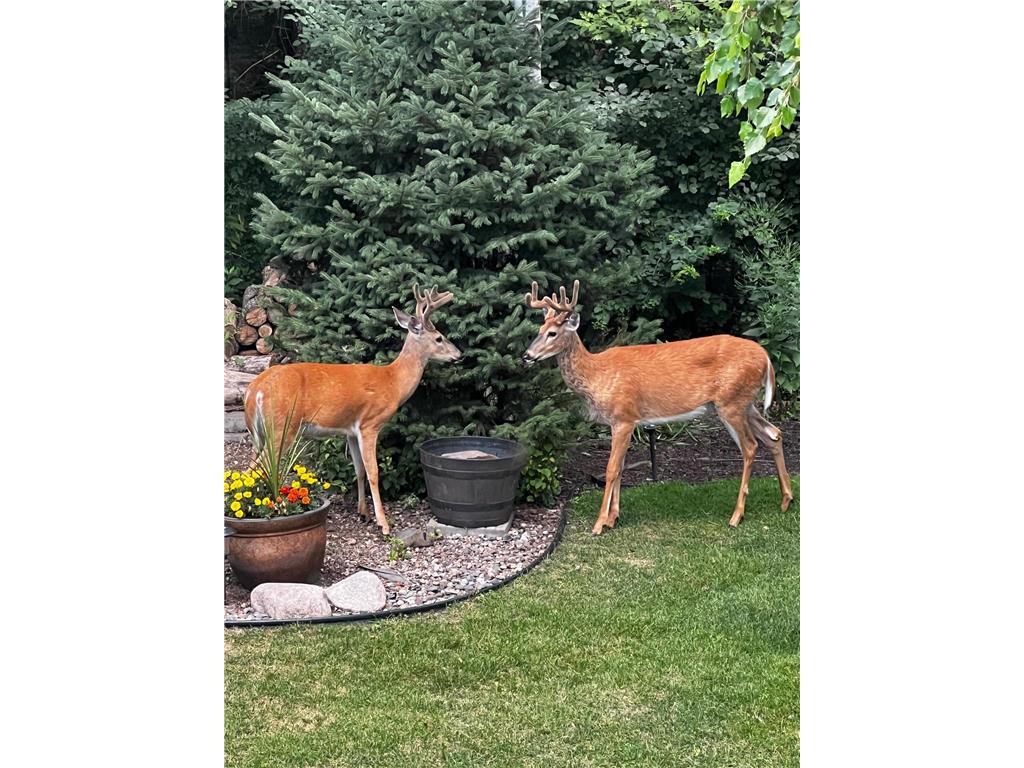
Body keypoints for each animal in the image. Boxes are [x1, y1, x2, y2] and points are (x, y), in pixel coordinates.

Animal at [244, 284, 462, 535]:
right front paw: (383, 523)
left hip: (258, 434)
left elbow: (359, 469)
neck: (393, 382)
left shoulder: (350, 431)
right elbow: (373, 471)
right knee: (256, 469)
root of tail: (254, 391)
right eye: (439, 337)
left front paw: (363, 513)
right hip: (281, 428)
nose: (459, 354)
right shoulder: (370, 423)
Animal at [522, 280, 793, 534]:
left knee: (750, 446)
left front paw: (599, 523)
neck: (596, 375)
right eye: (539, 329)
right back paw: (786, 500)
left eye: (553, 333)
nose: (526, 356)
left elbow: (611, 469)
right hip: (743, 403)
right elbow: (621, 467)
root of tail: (766, 357)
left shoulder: (624, 416)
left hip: (731, 402)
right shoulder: (622, 422)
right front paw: (613, 518)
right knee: (774, 434)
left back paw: (737, 515)